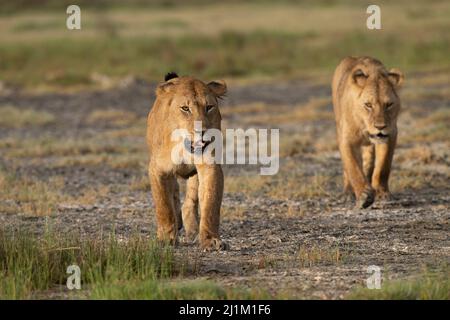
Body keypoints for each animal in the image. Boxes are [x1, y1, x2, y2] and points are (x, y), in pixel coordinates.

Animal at [146, 72, 227, 250]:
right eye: (185, 108)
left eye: (209, 107)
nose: (202, 132)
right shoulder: (158, 169)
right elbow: (163, 204)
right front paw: (166, 237)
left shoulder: (210, 167)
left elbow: (210, 203)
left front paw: (211, 239)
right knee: (174, 192)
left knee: (191, 198)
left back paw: (192, 228)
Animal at [330, 56, 404, 209]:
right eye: (368, 105)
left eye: (389, 105)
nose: (380, 127)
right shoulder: (346, 140)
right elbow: (353, 168)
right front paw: (364, 196)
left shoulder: (390, 135)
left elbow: (382, 168)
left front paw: (383, 194)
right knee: (348, 169)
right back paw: (348, 193)